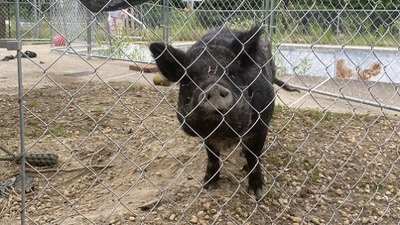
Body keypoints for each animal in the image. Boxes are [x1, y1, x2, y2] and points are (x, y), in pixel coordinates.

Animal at [150, 26, 296, 199]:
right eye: (187, 79)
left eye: (231, 73)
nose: (213, 88)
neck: (223, 134)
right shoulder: (206, 137)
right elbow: (212, 157)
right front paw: (207, 186)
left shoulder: (262, 124)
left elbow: (254, 157)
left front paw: (256, 194)